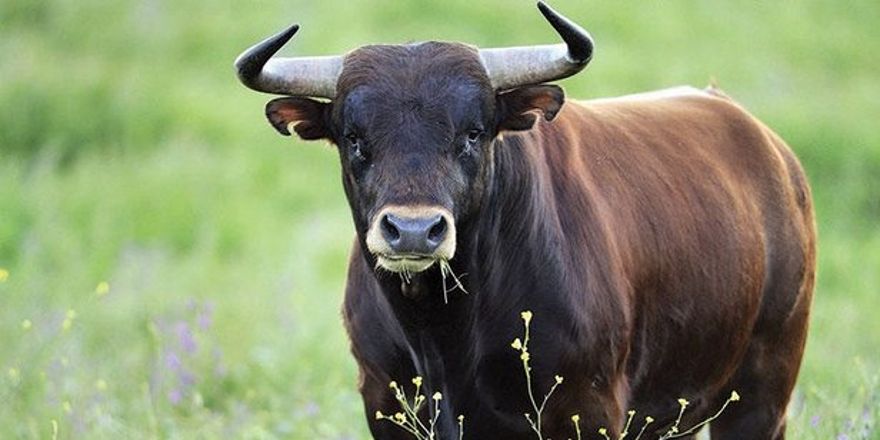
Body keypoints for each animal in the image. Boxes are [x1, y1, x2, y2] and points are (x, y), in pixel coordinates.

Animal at [234, 2, 815, 439]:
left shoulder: (588, 411)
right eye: (355, 138)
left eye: (472, 132)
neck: (443, 334)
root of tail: (772, 150)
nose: (414, 231)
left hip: (762, 395)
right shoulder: (384, 403)